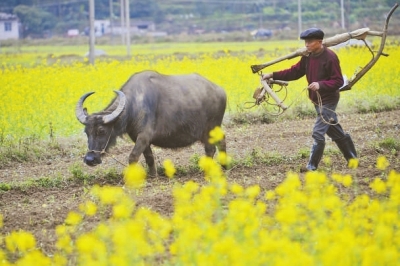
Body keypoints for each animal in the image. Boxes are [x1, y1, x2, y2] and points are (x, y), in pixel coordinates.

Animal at [75, 70, 225, 177]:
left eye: (101, 130)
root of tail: (220, 91)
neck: (133, 106)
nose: (90, 159)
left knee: (214, 147)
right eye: (86, 132)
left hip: (212, 128)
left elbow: (133, 156)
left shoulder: (144, 136)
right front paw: (153, 176)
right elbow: (149, 157)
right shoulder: (139, 138)